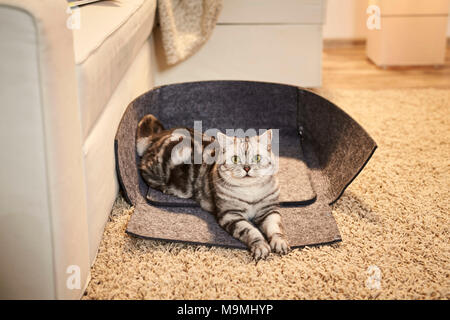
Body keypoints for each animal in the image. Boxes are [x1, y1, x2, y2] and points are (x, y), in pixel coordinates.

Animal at [135, 115, 290, 260]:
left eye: (257, 158)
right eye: (235, 159)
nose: (247, 168)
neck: (250, 191)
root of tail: (158, 136)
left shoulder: (269, 210)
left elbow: (275, 227)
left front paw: (279, 242)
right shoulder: (230, 215)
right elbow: (250, 231)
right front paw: (260, 245)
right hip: (158, 173)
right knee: (144, 171)